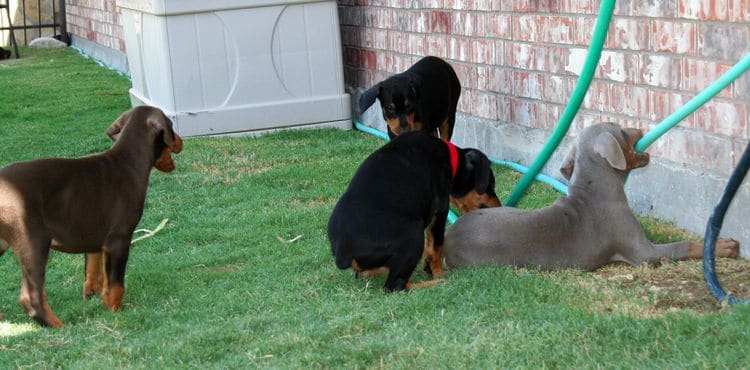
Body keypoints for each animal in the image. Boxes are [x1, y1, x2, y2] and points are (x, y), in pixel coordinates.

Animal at [0, 105, 184, 328]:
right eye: (172, 126)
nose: (182, 141)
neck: (128, 161)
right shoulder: (119, 239)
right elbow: (116, 284)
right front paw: (115, 310)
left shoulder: (93, 236)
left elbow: (94, 271)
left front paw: (93, 297)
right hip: (33, 243)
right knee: (31, 297)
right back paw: (60, 327)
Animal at [328, 132, 500, 290]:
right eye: (491, 183)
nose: (499, 205)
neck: (451, 160)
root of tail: (344, 252)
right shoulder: (440, 210)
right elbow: (436, 246)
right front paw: (438, 274)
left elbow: (430, 246)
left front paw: (427, 267)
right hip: (413, 232)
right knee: (395, 286)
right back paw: (434, 283)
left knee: (365, 273)